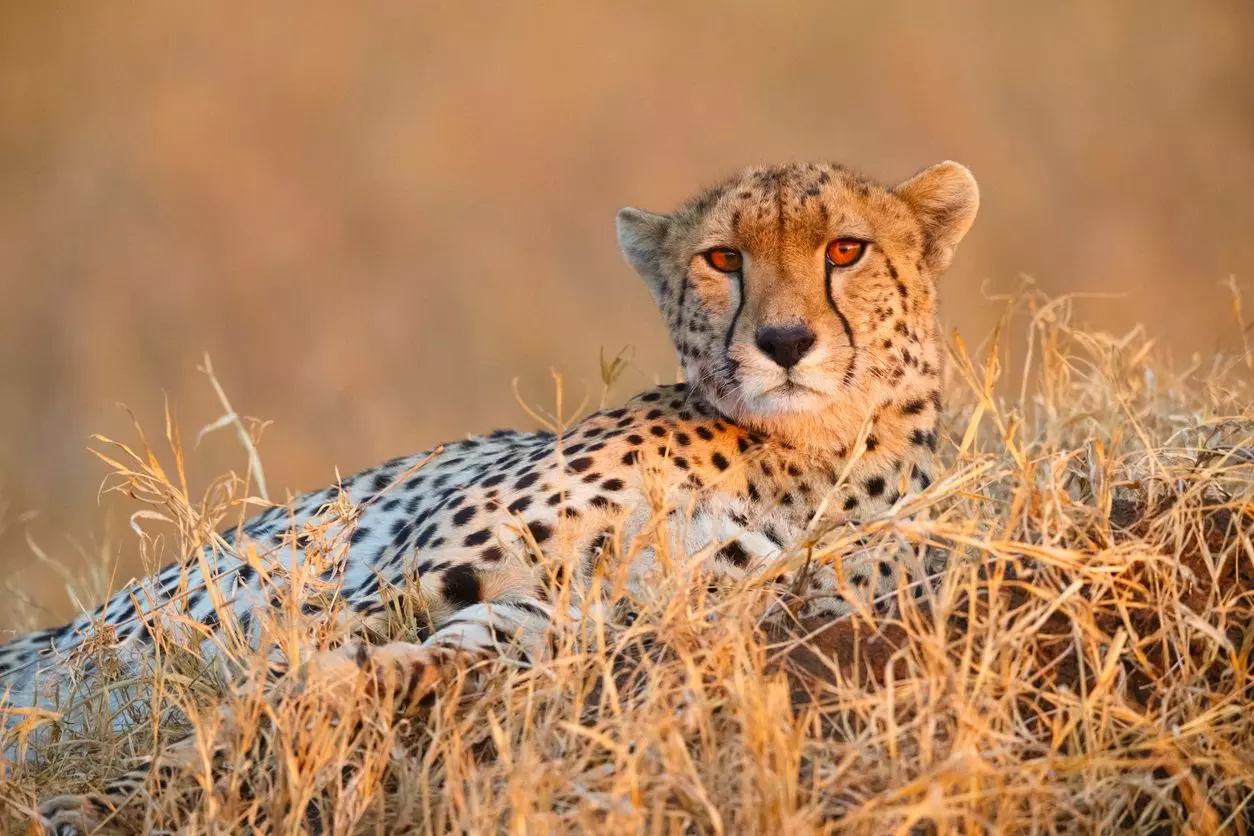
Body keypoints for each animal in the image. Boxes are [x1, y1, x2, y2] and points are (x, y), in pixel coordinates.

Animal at [1, 158, 979, 833]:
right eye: (722, 258)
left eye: (846, 249)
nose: (783, 342)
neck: (796, 455)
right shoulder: (394, 592)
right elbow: (262, 690)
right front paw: (116, 801)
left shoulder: (557, 626)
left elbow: (346, 685)